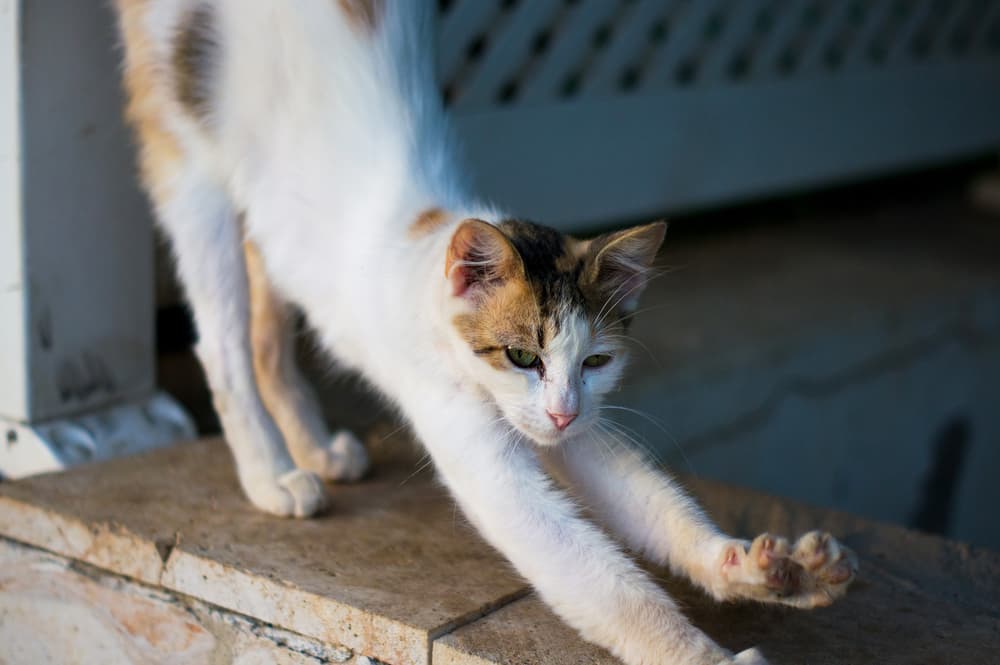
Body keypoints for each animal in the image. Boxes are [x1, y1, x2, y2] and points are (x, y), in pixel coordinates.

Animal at [113, 2, 856, 660]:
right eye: (522, 355)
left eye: (595, 362)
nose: (562, 411)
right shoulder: (475, 440)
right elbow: (603, 581)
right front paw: (702, 654)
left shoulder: (571, 429)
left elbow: (644, 499)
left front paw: (758, 569)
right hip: (188, 147)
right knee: (223, 337)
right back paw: (270, 472)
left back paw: (314, 447)